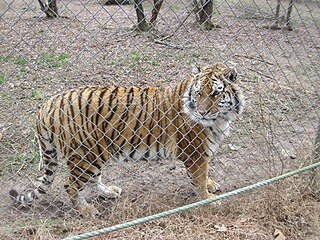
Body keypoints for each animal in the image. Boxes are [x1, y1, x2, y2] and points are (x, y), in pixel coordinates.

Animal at [10, 62, 245, 217]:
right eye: (198, 92)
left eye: (215, 94)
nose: (202, 113)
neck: (221, 118)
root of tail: (47, 104)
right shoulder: (195, 153)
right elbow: (199, 178)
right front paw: (209, 200)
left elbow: (204, 175)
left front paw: (210, 185)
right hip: (84, 155)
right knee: (70, 186)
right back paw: (87, 210)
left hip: (95, 151)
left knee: (93, 179)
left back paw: (109, 192)